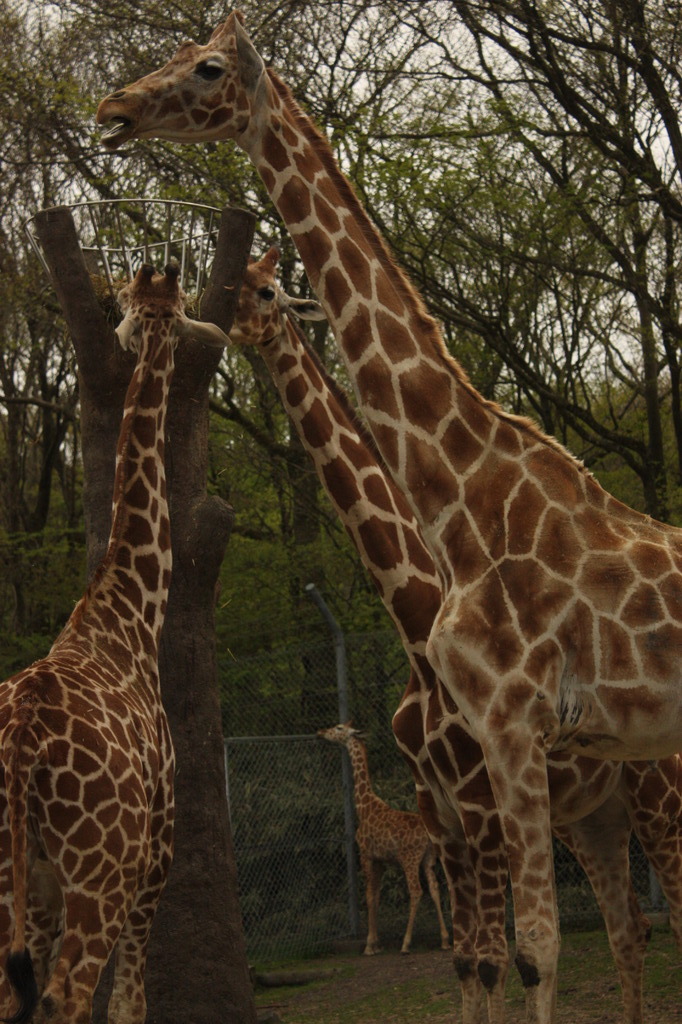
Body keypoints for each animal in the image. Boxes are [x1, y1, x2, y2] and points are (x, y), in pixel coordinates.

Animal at [0, 264, 228, 1024]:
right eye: (176, 316)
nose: (217, 333)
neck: (128, 613)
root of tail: (21, 739)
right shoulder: (156, 848)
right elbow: (128, 1003)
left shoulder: (41, 888)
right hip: (99, 868)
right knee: (68, 997)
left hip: (15, 870)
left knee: (19, 994)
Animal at [317, 724, 448, 954]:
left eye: (339, 728)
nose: (320, 732)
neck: (363, 806)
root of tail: (428, 836)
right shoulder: (381, 861)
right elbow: (376, 896)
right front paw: (376, 942)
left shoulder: (366, 855)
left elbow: (369, 896)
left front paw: (370, 945)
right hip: (429, 859)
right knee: (434, 889)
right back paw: (445, 940)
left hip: (409, 859)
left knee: (416, 891)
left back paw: (406, 943)